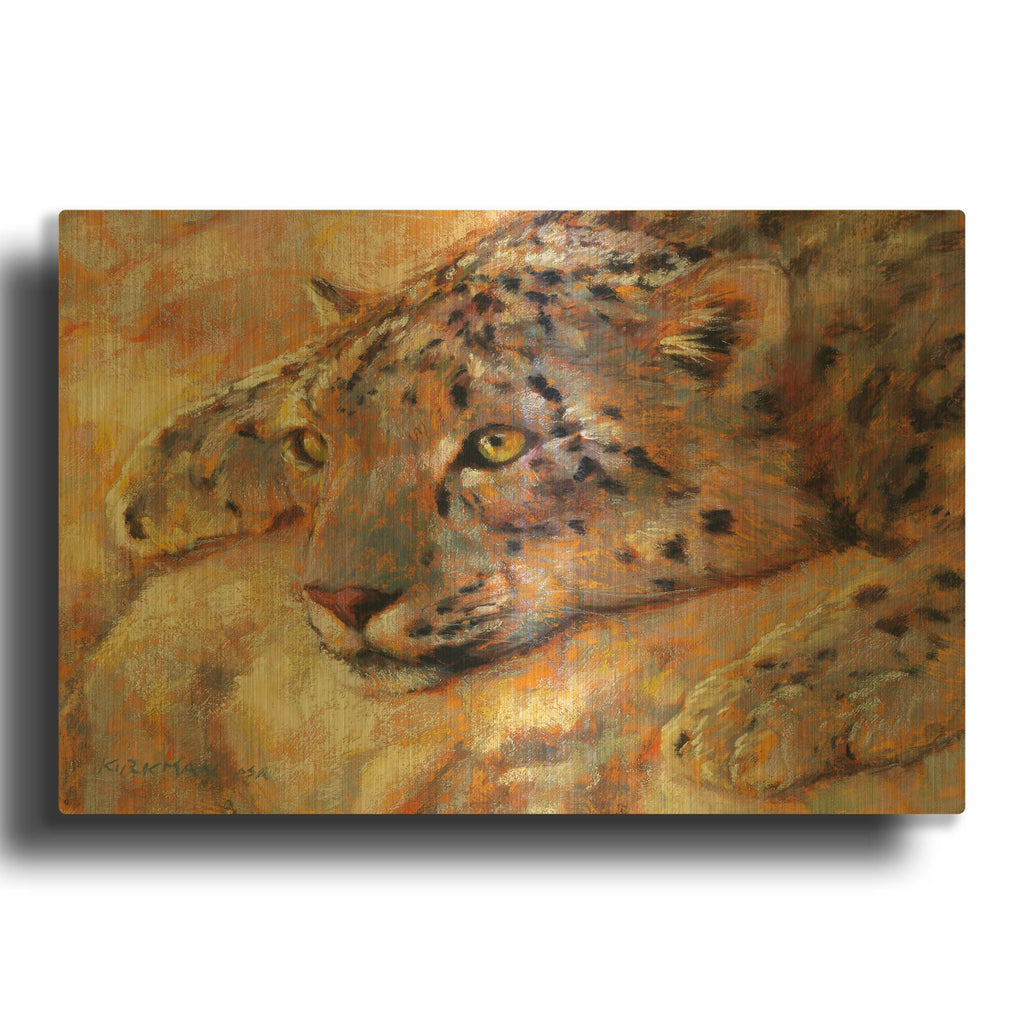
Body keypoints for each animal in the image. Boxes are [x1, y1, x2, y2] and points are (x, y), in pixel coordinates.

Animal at [90, 210, 964, 807]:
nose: (340, 599)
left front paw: (767, 705)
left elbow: (946, 576)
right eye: (312, 445)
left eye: (497, 443)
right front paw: (168, 467)